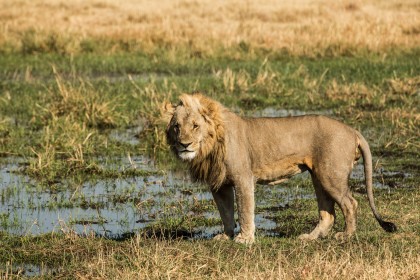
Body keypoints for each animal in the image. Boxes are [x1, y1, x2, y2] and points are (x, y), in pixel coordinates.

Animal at [162, 93, 396, 244]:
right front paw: (226, 236)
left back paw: (346, 235)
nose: (184, 144)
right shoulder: (219, 184)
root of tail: (352, 130)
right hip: (319, 176)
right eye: (177, 127)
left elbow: (245, 210)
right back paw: (310, 238)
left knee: (350, 203)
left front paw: (244, 239)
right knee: (328, 213)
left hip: (331, 175)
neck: (209, 146)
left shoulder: (243, 177)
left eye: (195, 126)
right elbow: (225, 212)